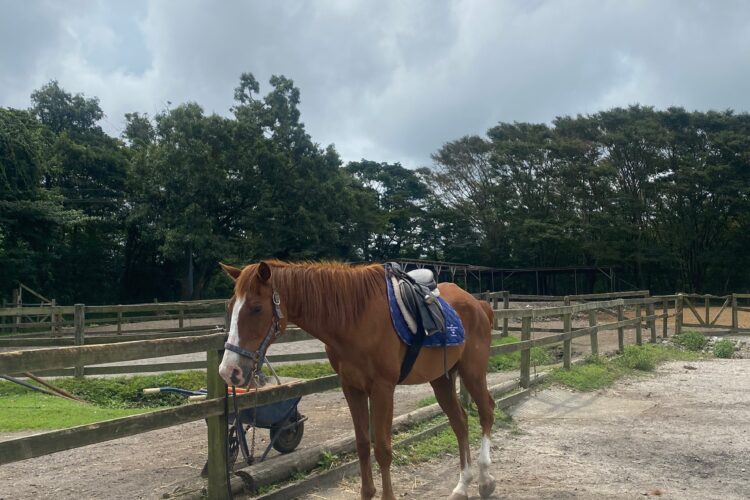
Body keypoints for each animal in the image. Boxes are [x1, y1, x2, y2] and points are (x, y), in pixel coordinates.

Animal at [217, 262, 500, 500]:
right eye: (230, 307)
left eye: (256, 308)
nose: (229, 371)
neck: (355, 319)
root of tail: (478, 304)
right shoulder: (352, 388)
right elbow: (363, 445)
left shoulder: (383, 389)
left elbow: (383, 449)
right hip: (441, 379)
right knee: (460, 422)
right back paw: (462, 486)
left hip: (473, 372)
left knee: (486, 411)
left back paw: (485, 480)